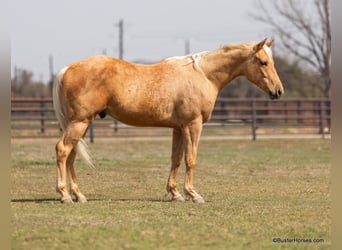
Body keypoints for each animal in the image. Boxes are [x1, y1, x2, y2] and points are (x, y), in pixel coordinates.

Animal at [52, 38, 284, 203]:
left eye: (271, 62)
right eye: (263, 62)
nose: (278, 91)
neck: (203, 74)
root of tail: (66, 69)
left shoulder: (179, 128)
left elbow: (176, 159)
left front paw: (176, 193)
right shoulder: (193, 125)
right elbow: (191, 159)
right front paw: (193, 194)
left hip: (80, 124)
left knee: (71, 155)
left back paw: (78, 195)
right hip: (79, 123)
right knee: (63, 150)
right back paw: (65, 195)